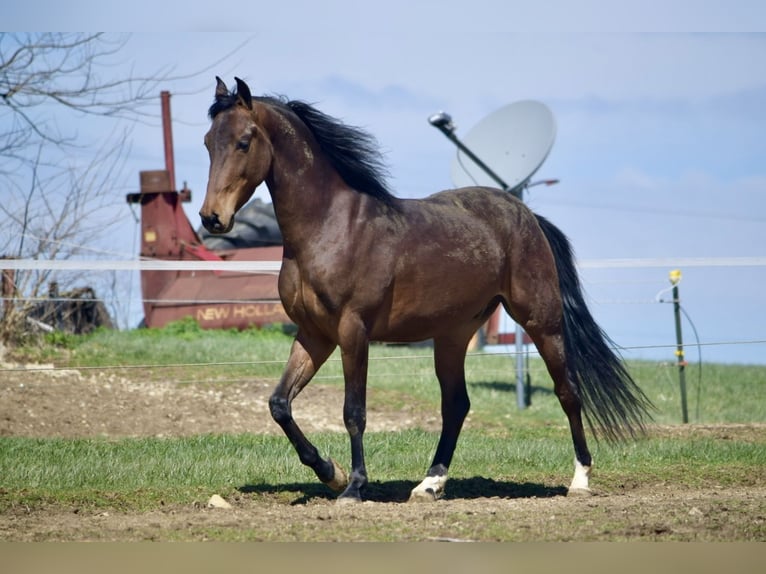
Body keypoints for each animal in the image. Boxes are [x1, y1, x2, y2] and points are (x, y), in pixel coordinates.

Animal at [200, 77, 653, 503]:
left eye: (243, 142)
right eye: (207, 142)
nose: (211, 218)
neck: (332, 227)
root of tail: (525, 214)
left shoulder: (353, 331)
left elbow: (354, 411)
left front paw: (354, 486)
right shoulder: (314, 334)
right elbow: (280, 404)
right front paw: (332, 473)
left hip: (542, 321)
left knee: (568, 392)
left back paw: (580, 479)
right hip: (453, 335)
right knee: (457, 405)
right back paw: (430, 484)